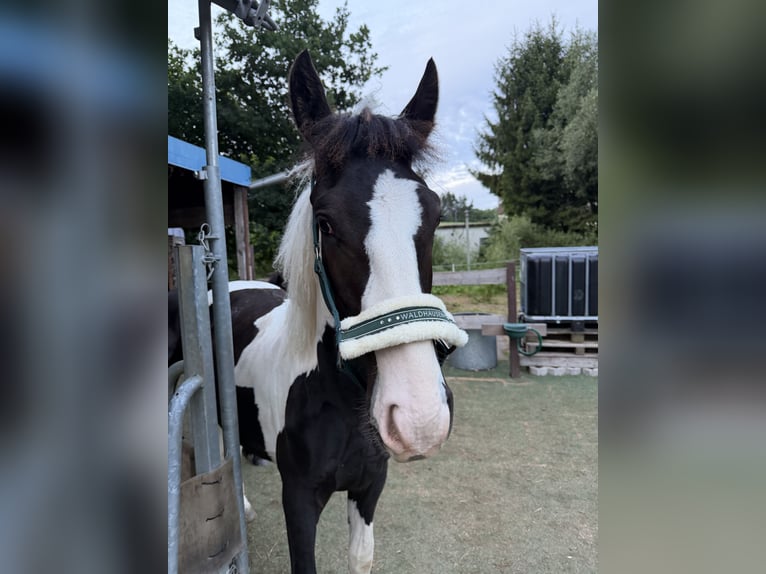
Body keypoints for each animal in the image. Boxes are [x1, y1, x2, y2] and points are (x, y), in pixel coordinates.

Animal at [181, 49, 468, 573]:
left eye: (436, 216)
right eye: (326, 223)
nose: (419, 418)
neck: (335, 396)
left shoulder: (370, 486)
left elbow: (360, 557)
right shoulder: (298, 501)